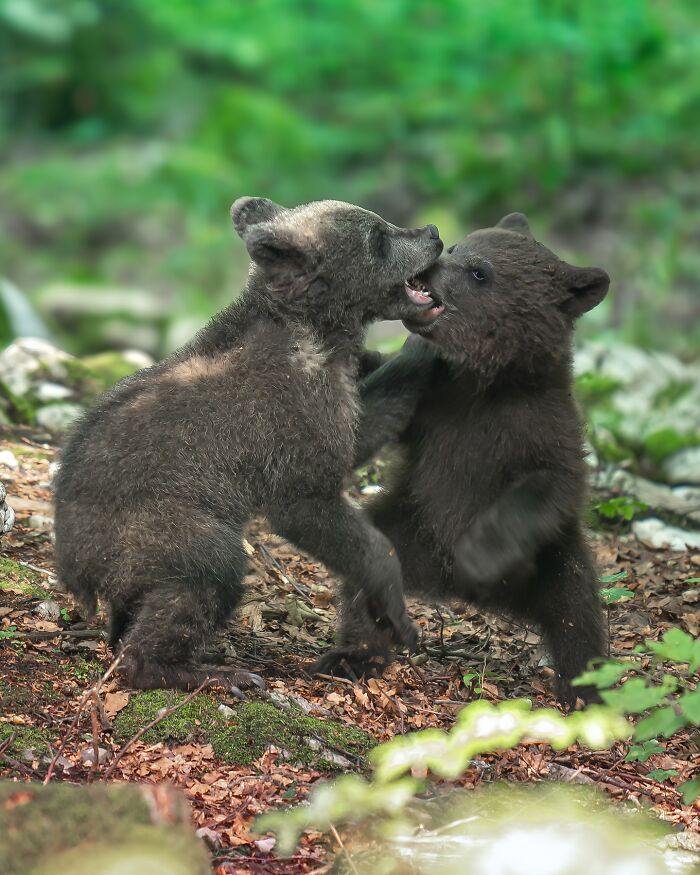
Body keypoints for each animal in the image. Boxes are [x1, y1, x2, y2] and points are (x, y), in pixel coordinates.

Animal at [54, 197, 443, 695]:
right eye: (377, 237)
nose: (432, 232)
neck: (319, 333)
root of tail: (74, 566)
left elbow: (363, 428)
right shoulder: (290, 419)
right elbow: (313, 505)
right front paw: (397, 613)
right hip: (156, 525)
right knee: (208, 570)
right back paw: (205, 670)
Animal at [314, 213, 609, 707]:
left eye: (479, 272)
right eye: (457, 248)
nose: (430, 267)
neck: (487, 381)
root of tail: (450, 588)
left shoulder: (540, 426)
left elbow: (551, 483)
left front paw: (480, 554)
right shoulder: (433, 402)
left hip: (555, 560)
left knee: (577, 615)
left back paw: (584, 689)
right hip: (407, 533)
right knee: (365, 574)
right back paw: (354, 655)